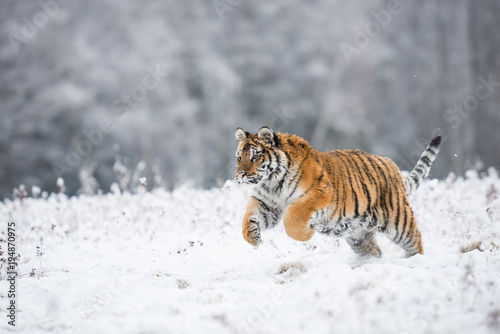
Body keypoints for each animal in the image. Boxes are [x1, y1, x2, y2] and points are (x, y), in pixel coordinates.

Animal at [234, 126, 442, 258]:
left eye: (255, 156)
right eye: (239, 157)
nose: (241, 174)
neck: (272, 183)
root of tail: (393, 167)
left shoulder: (320, 193)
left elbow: (293, 218)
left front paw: (307, 234)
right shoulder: (266, 204)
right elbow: (247, 218)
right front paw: (253, 238)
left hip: (399, 223)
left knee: (416, 240)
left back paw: (415, 261)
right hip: (358, 234)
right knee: (374, 252)